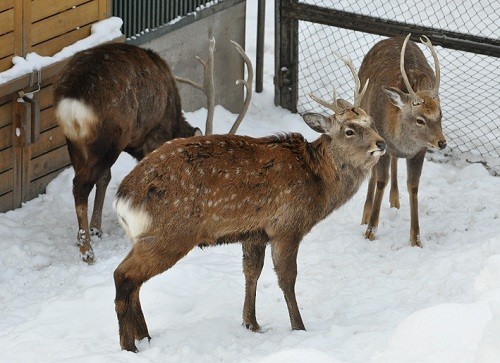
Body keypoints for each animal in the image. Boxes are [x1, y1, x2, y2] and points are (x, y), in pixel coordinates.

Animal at [112, 55, 386, 354]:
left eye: (371, 121)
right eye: (349, 130)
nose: (381, 143)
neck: (318, 180)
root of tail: (123, 198)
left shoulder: (255, 232)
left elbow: (251, 272)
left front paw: (251, 323)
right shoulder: (287, 226)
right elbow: (287, 278)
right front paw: (299, 327)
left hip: (147, 236)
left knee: (134, 282)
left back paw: (145, 337)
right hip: (170, 234)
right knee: (123, 276)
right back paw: (129, 346)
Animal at [358, 34, 448, 247]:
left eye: (440, 115)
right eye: (420, 119)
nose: (442, 142)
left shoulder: (419, 150)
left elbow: (413, 186)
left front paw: (416, 239)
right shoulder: (381, 142)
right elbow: (381, 180)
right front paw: (370, 231)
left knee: (394, 161)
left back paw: (395, 200)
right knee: (374, 171)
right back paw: (366, 214)